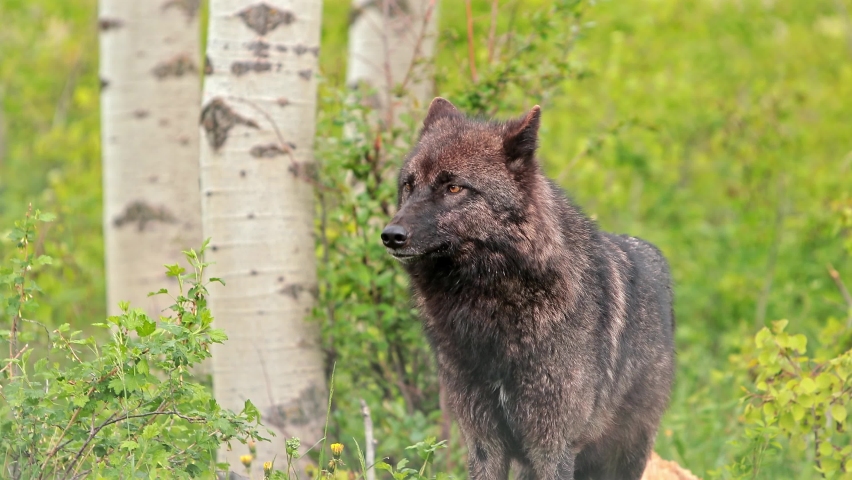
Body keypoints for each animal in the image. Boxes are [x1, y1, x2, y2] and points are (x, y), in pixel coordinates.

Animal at [381, 98, 676, 480]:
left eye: (454, 187)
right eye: (409, 185)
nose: (390, 235)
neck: (491, 306)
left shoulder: (553, 448)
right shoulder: (484, 443)